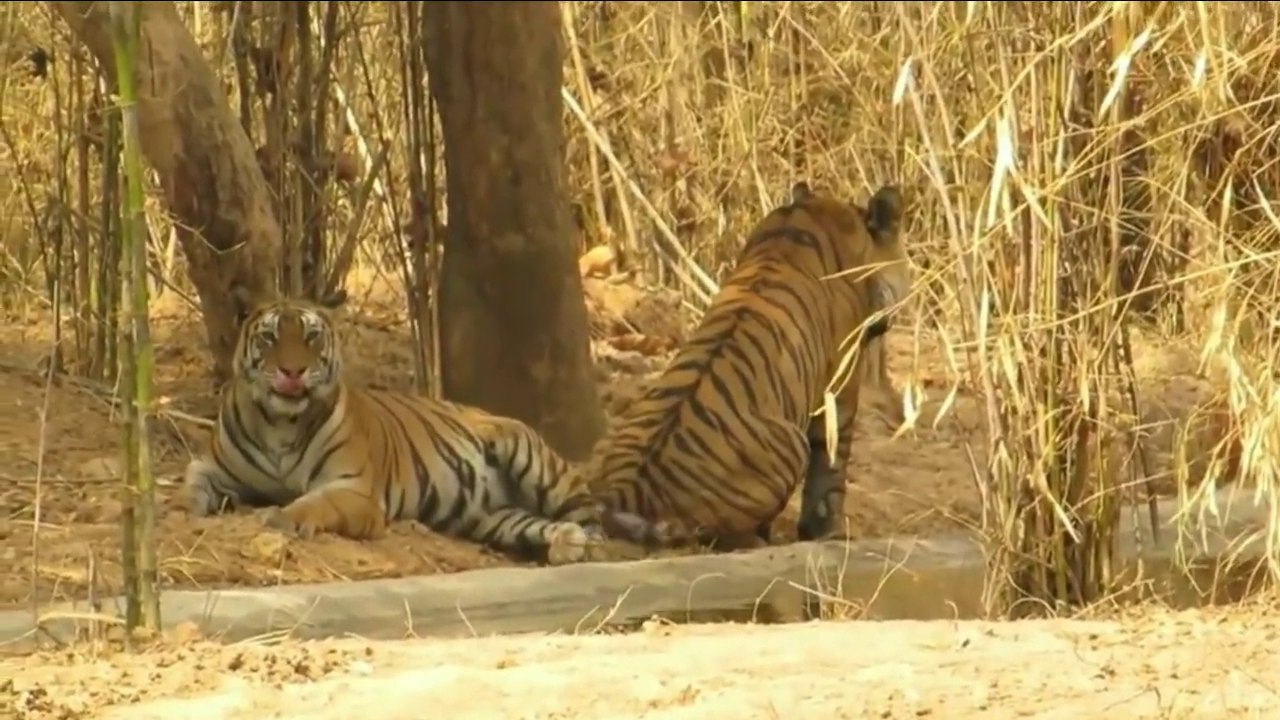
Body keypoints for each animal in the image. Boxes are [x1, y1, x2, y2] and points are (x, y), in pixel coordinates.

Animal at [181, 291, 605, 566]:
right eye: (269, 337)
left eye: (311, 336)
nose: (292, 371)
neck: (280, 423)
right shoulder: (215, 467)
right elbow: (191, 484)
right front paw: (184, 512)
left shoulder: (354, 490)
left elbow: (317, 502)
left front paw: (282, 517)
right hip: (497, 518)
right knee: (537, 524)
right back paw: (565, 544)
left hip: (534, 460)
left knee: (593, 514)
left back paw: (588, 545)